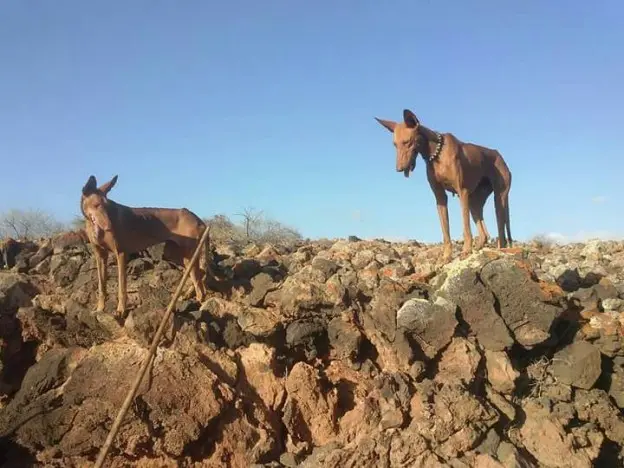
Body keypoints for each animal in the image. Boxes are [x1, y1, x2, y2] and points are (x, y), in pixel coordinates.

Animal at [81, 176, 213, 318]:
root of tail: (200, 220)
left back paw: (198, 304)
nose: (110, 227)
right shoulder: (100, 256)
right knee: (198, 275)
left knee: (198, 280)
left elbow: (122, 287)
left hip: (189, 254)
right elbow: (102, 286)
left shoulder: (121, 253)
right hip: (174, 254)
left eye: (107, 205)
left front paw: (121, 310)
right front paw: (100, 309)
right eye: (96, 205)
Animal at [376, 109, 512, 264]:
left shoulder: (462, 192)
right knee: (484, 234)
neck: (436, 153)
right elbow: (445, 232)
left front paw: (466, 250)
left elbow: (466, 228)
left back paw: (500, 249)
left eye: (407, 141)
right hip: (474, 202)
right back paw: (478, 249)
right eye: (395, 144)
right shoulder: (440, 198)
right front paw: (447, 256)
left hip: (499, 199)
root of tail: (500, 156)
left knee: (501, 230)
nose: (399, 169)